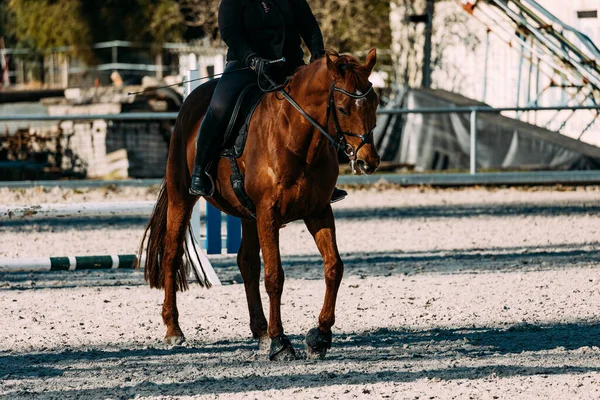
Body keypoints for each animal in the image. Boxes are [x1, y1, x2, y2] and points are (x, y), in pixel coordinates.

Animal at [137, 49, 380, 360]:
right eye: (343, 108)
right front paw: (281, 342)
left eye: (374, 103)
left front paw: (320, 337)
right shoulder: (268, 213)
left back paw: (260, 331)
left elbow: (334, 267)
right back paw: (173, 329)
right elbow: (275, 276)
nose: (368, 161)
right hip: (182, 195)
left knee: (247, 263)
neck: (296, 140)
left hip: (247, 214)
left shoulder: (318, 211)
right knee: (171, 254)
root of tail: (192, 99)